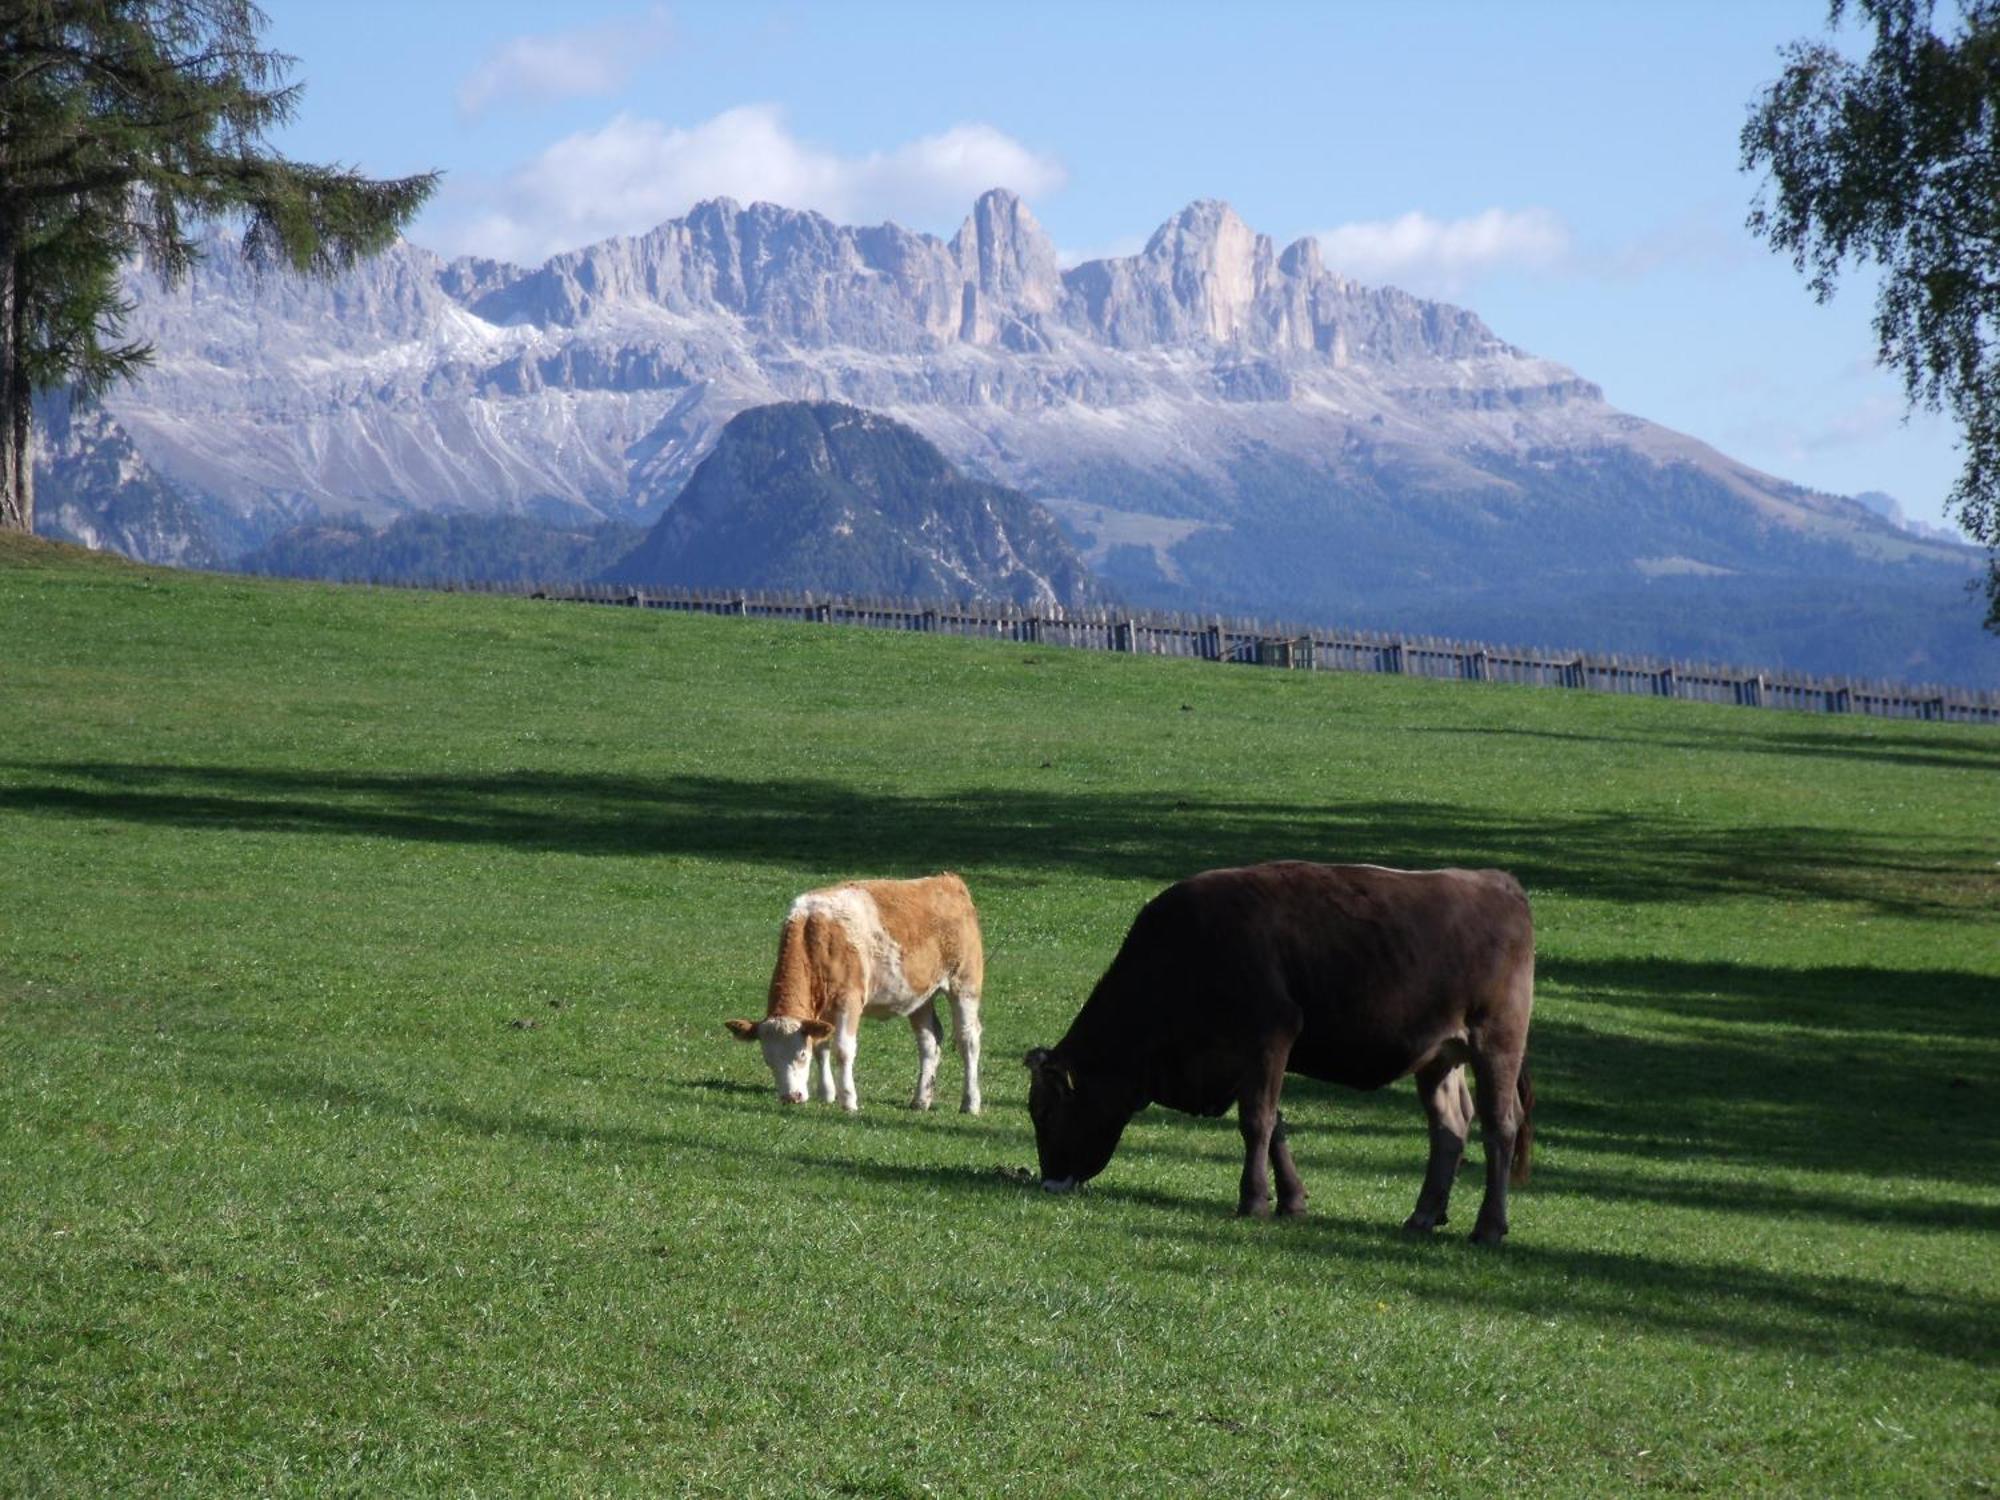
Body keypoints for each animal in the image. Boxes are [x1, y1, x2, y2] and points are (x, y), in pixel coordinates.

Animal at [732, 868, 988, 1120]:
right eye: (767, 1059)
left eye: (801, 1054)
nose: (790, 1097)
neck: (815, 935)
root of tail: (948, 880)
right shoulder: (821, 1012)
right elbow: (822, 1046)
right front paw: (826, 1093)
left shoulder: (849, 1000)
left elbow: (843, 1050)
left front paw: (848, 1100)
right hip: (920, 995)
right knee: (929, 1041)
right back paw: (920, 1100)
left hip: (964, 984)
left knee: (968, 1039)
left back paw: (970, 1102)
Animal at [1024, 864, 1536, 1248]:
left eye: (1045, 1113)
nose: (1049, 1181)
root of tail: (1496, 882)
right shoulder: (1247, 1059)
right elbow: (1275, 1126)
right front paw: (1291, 1200)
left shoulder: (1270, 1034)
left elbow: (1257, 1123)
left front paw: (1252, 1201)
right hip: (1438, 1055)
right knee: (1449, 1124)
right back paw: (1424, 1215)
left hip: (1497, 1041)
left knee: (1499, 1124)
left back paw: (1489, 1227)